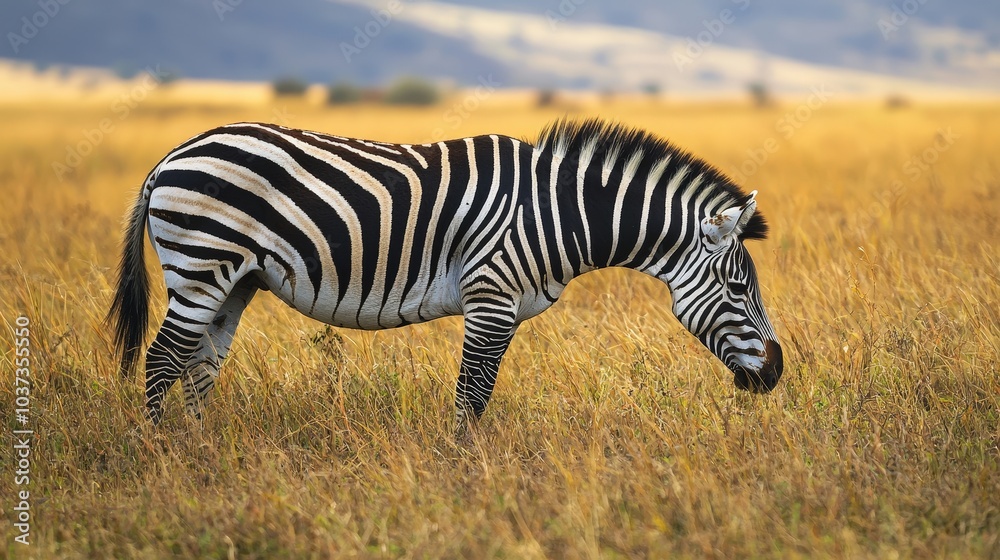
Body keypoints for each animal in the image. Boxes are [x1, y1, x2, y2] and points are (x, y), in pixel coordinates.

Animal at [108, 118, 783, 426]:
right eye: (737, 287)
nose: (776, 373)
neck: (557, 213)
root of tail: (174, 154)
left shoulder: (502, 306)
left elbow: (476, 395)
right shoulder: (491, 297)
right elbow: (472, 397)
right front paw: (464, 477)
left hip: (235, 280)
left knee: (199, 368)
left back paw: (201, 453)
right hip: (200, 265)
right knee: (163, 360)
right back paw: (163, 457)